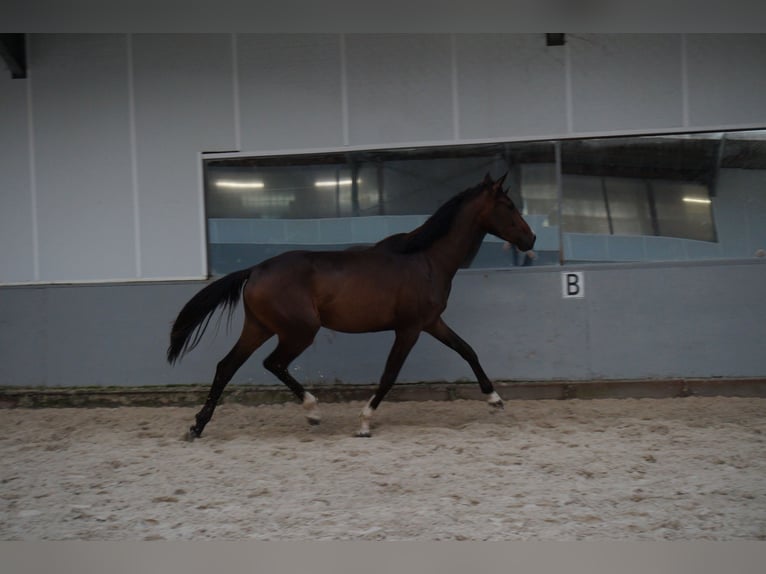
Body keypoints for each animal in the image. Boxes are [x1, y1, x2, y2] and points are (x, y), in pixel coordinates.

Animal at [170, 173, 536, 438]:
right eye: (508, 205)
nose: (530, 239)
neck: (427, 259)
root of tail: (256, 270)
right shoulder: (410, 329)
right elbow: (390, 374)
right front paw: (363, 422)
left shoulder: (432, 323)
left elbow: (467, 350)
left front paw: (495, 400)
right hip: (299, 332)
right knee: (272, 363)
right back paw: (313, 412)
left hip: (259, 327)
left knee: (226, 366)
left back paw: (197, 426)